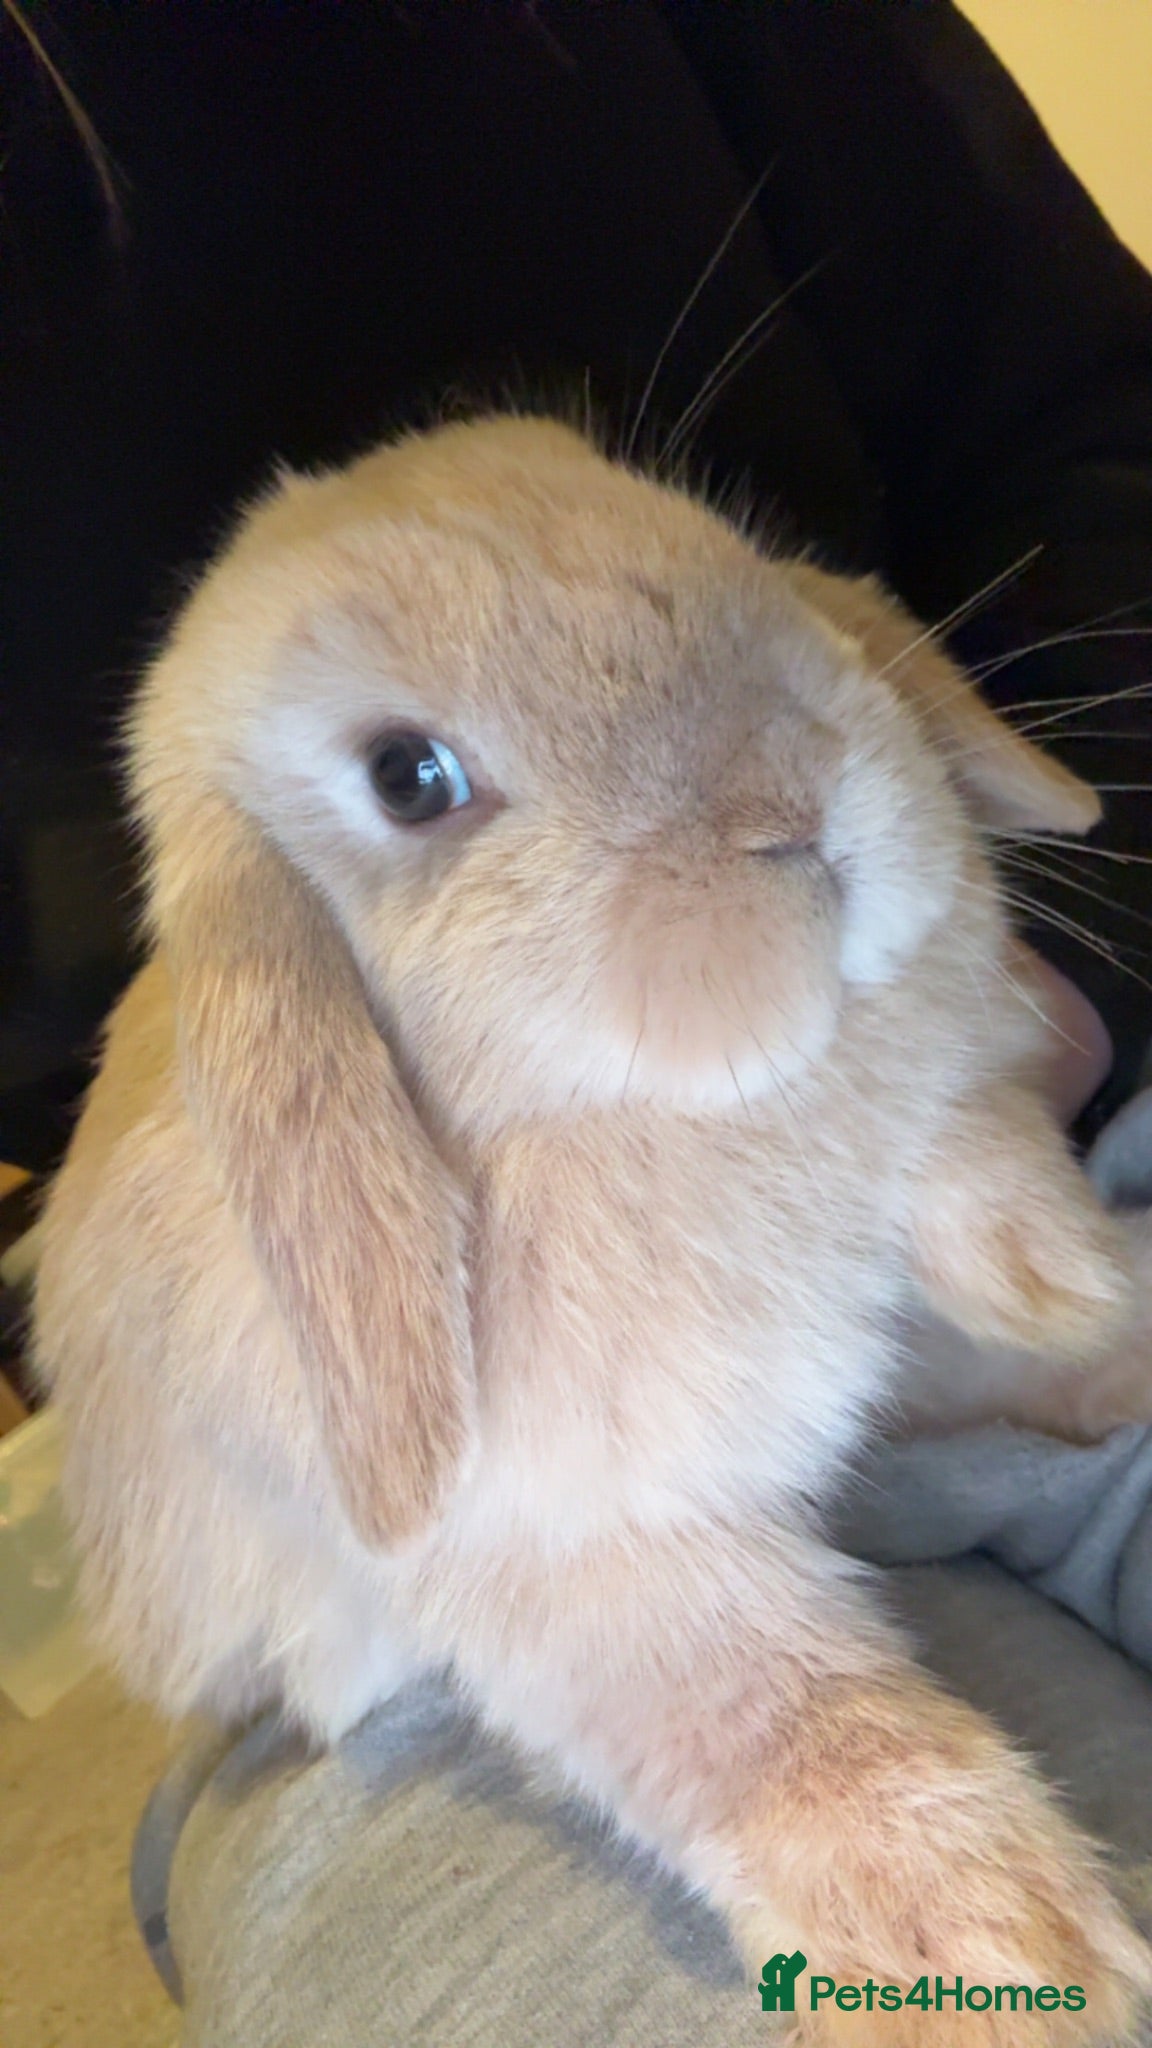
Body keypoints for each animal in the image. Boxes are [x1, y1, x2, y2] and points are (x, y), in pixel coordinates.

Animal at [33, 414, 1152, 2042]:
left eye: (722, 544)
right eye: (410, 777)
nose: (796, 802)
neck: (658, 1106)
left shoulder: (931, 1162)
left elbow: (984, 1198)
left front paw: (1089, 1290)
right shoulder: (579, 1563)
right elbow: (793, 1726)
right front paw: (1010, 1958)